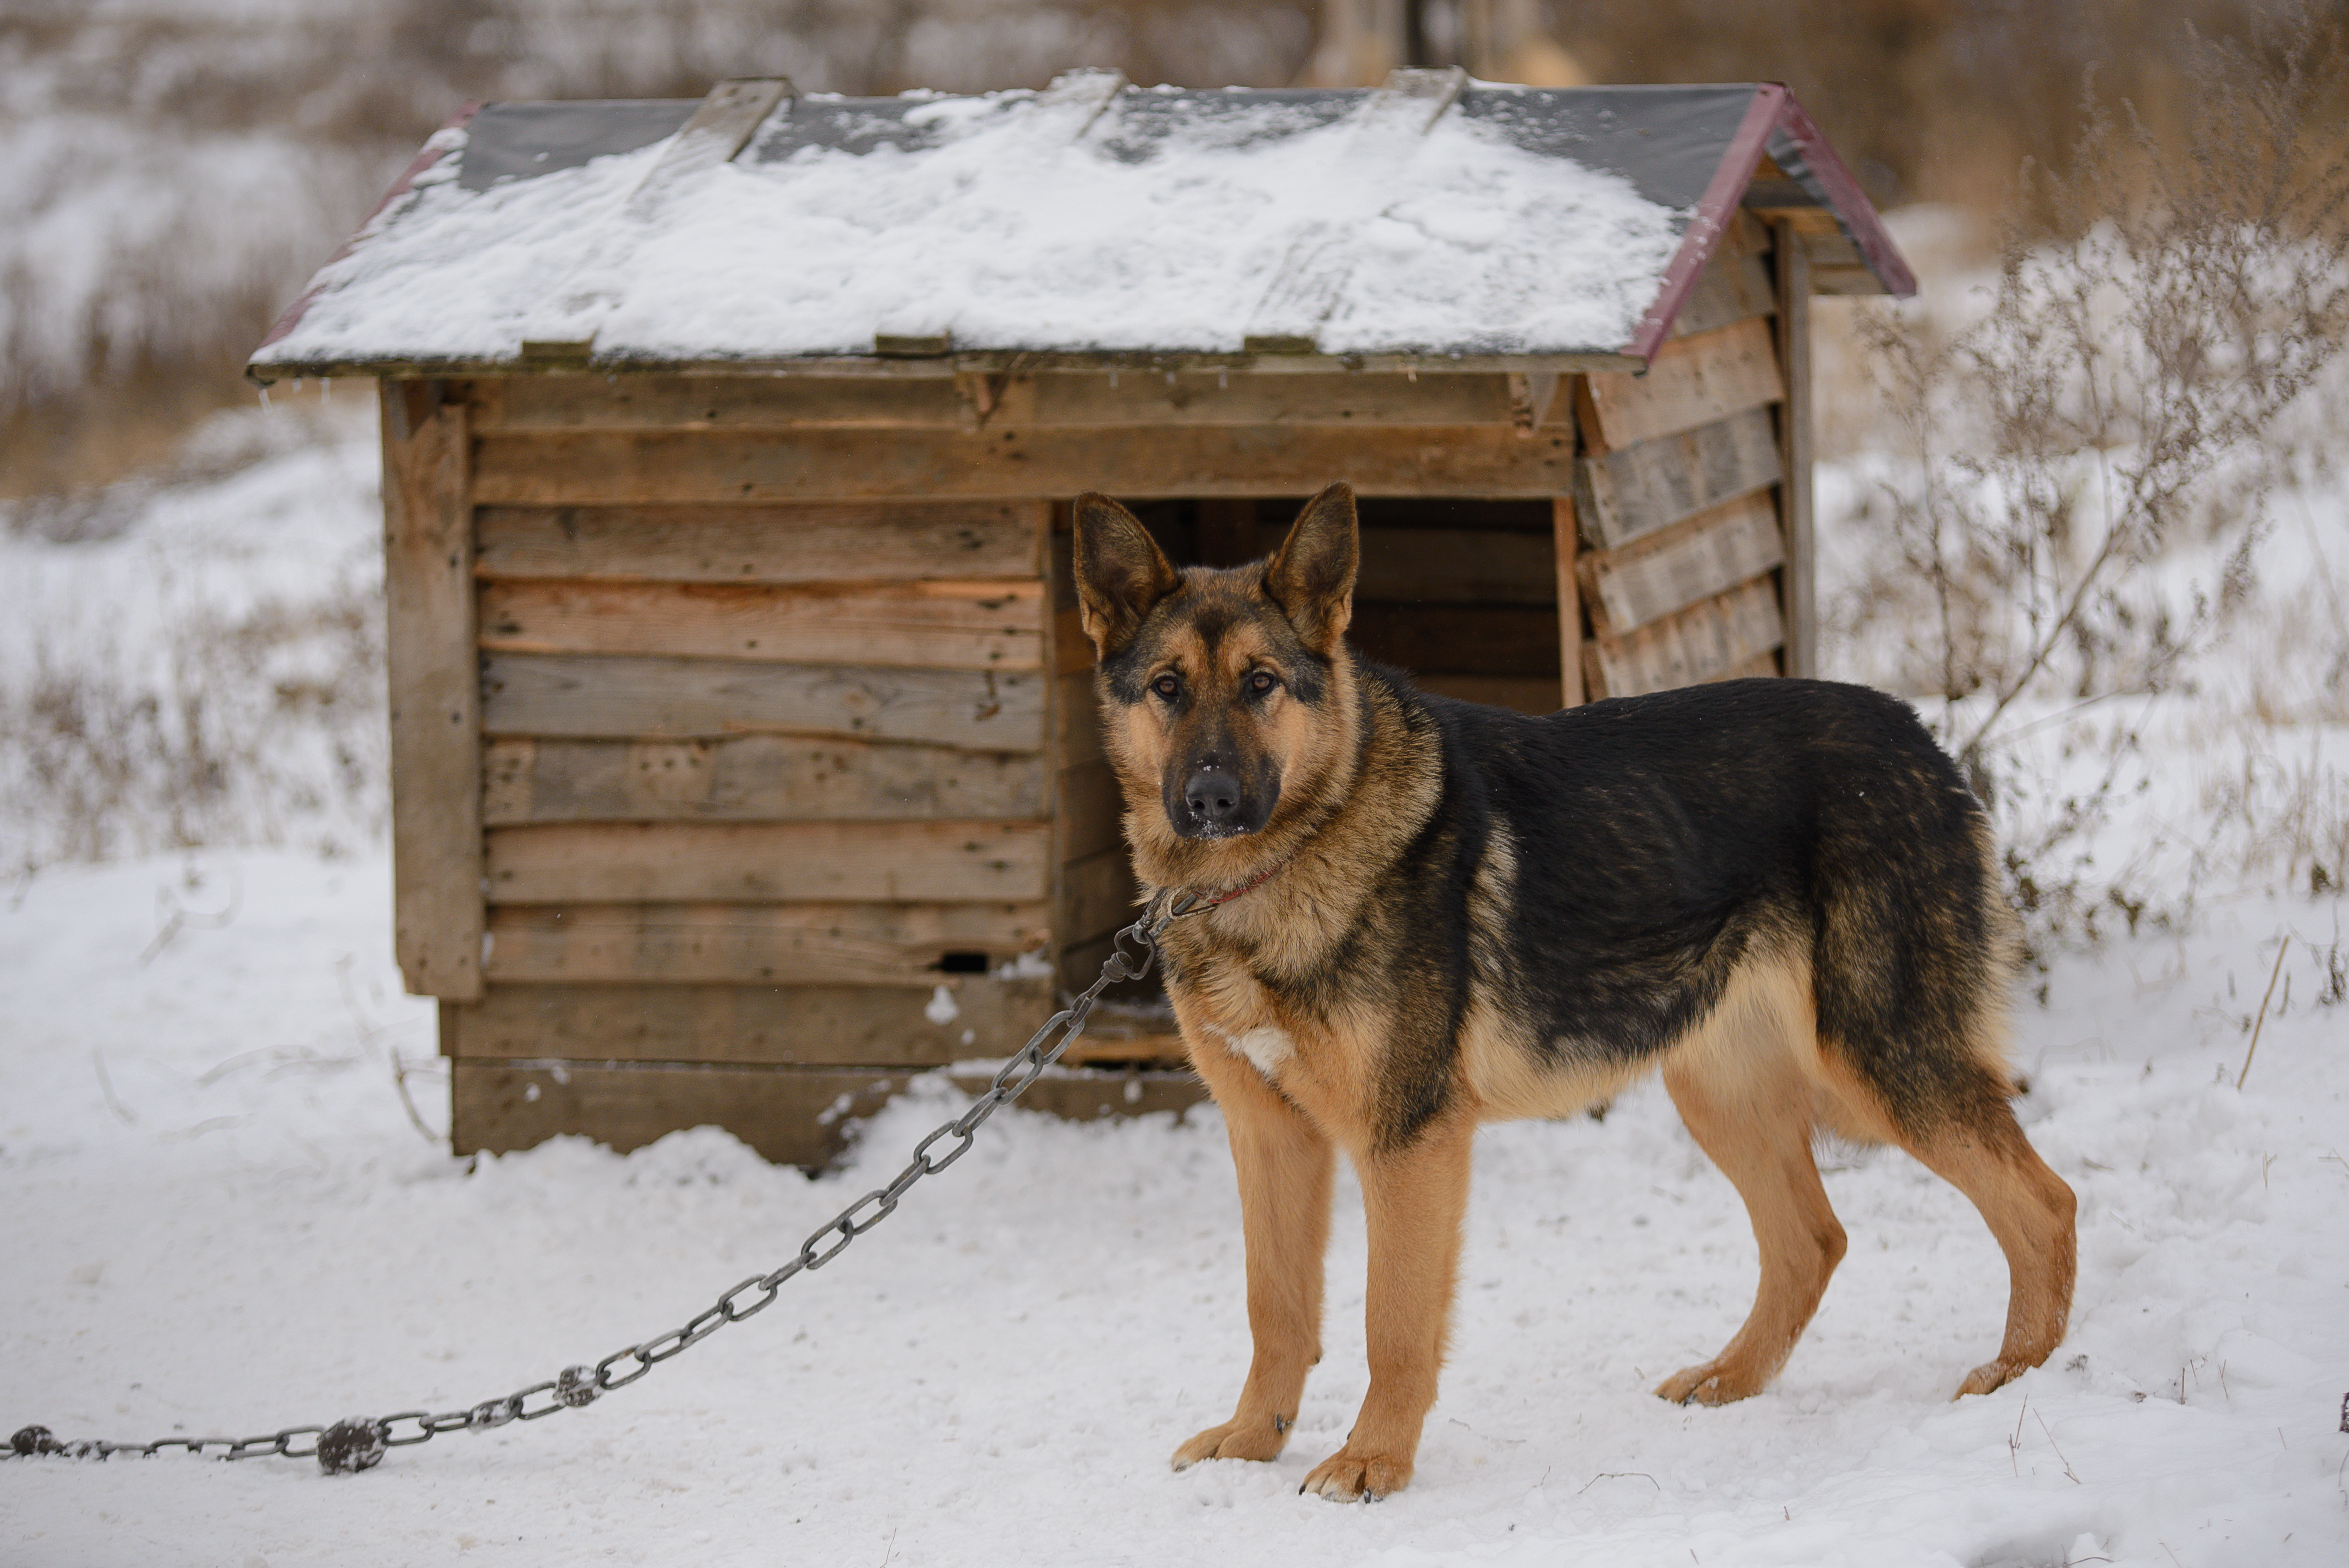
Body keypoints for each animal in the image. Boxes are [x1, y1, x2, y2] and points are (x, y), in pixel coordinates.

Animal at [1071, 481, 2076, 1502]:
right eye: (1168, 687)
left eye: (1262, 683)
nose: (1210, 800)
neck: (1276, 866)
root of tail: (1919, 735)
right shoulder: (1269, 1137)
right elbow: (1274, 1304)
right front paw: (1252, 1440)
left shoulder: (1408, 1141)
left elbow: (1392, 1320)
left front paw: (1372, 1460)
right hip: (1725, 1090)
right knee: (1813, 1239)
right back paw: (1731, 1377)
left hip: (1881, 1064)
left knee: (2045, 1204)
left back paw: (2017, 1376)